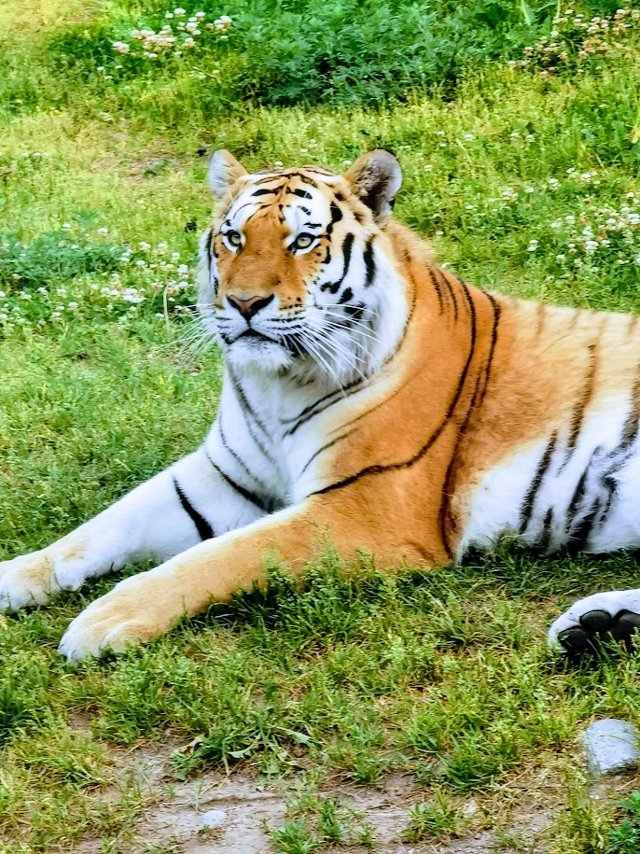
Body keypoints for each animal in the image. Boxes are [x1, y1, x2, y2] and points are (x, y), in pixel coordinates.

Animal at [1, 148, 639, 661]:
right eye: (234, 237)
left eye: (303, 241)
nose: (244, 303)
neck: (278, 382)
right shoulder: (219, 475)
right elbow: (101, 527)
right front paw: (16, 575)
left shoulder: (363, 507)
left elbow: (222, 556)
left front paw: (105, 620)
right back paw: (600, 627)